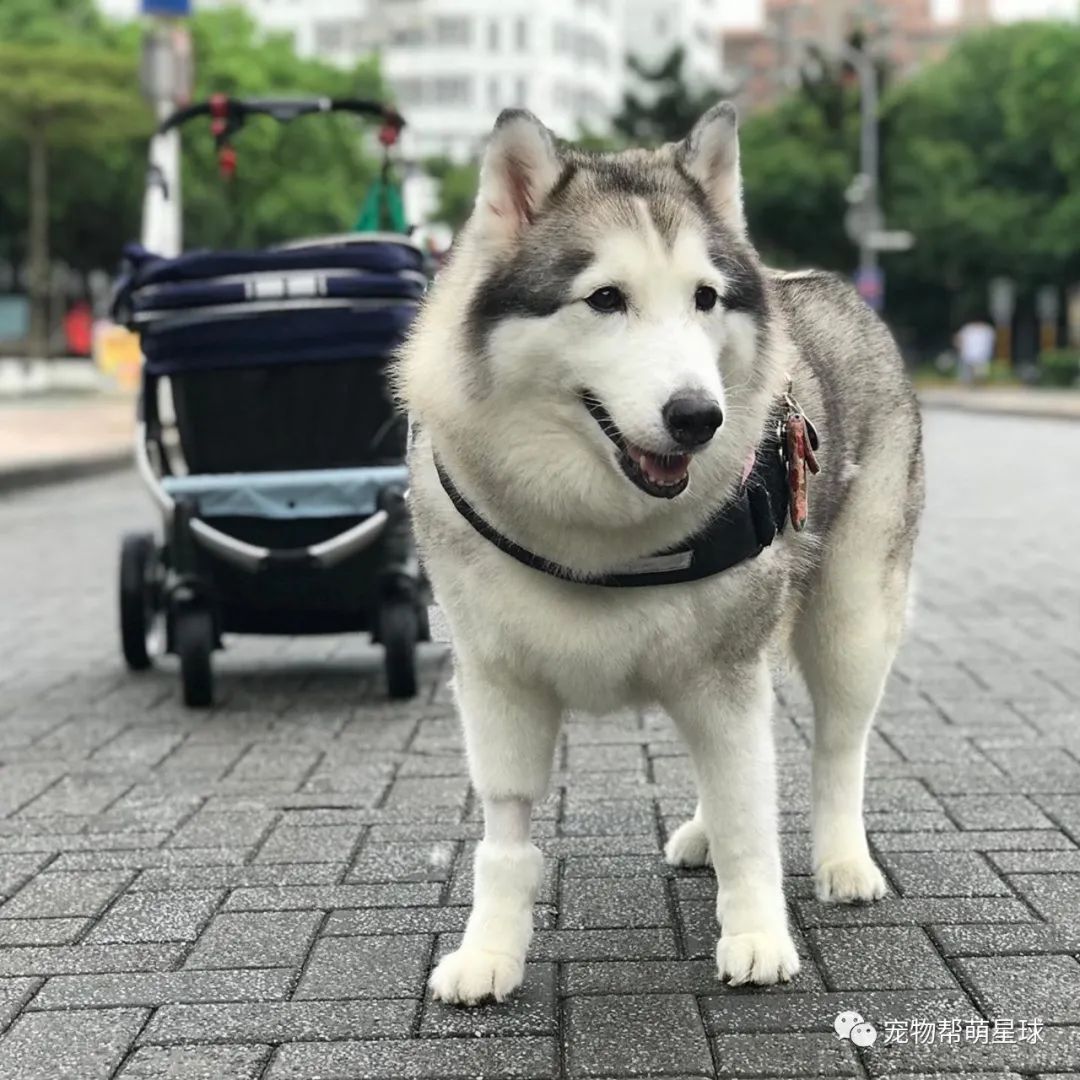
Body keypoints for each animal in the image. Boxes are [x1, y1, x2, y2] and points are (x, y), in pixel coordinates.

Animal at [393, 103, 924, 1002]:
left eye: (704, 299)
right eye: (606, 299)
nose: (698, 416)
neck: (597, 536)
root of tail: (822, 282)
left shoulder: (724, 674)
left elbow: (752, 815)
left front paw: (756, 933)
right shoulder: (498, 680)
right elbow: (507, 831)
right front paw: (491, 950)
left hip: (849, 622)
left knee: (835, 747)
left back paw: (844, 860)